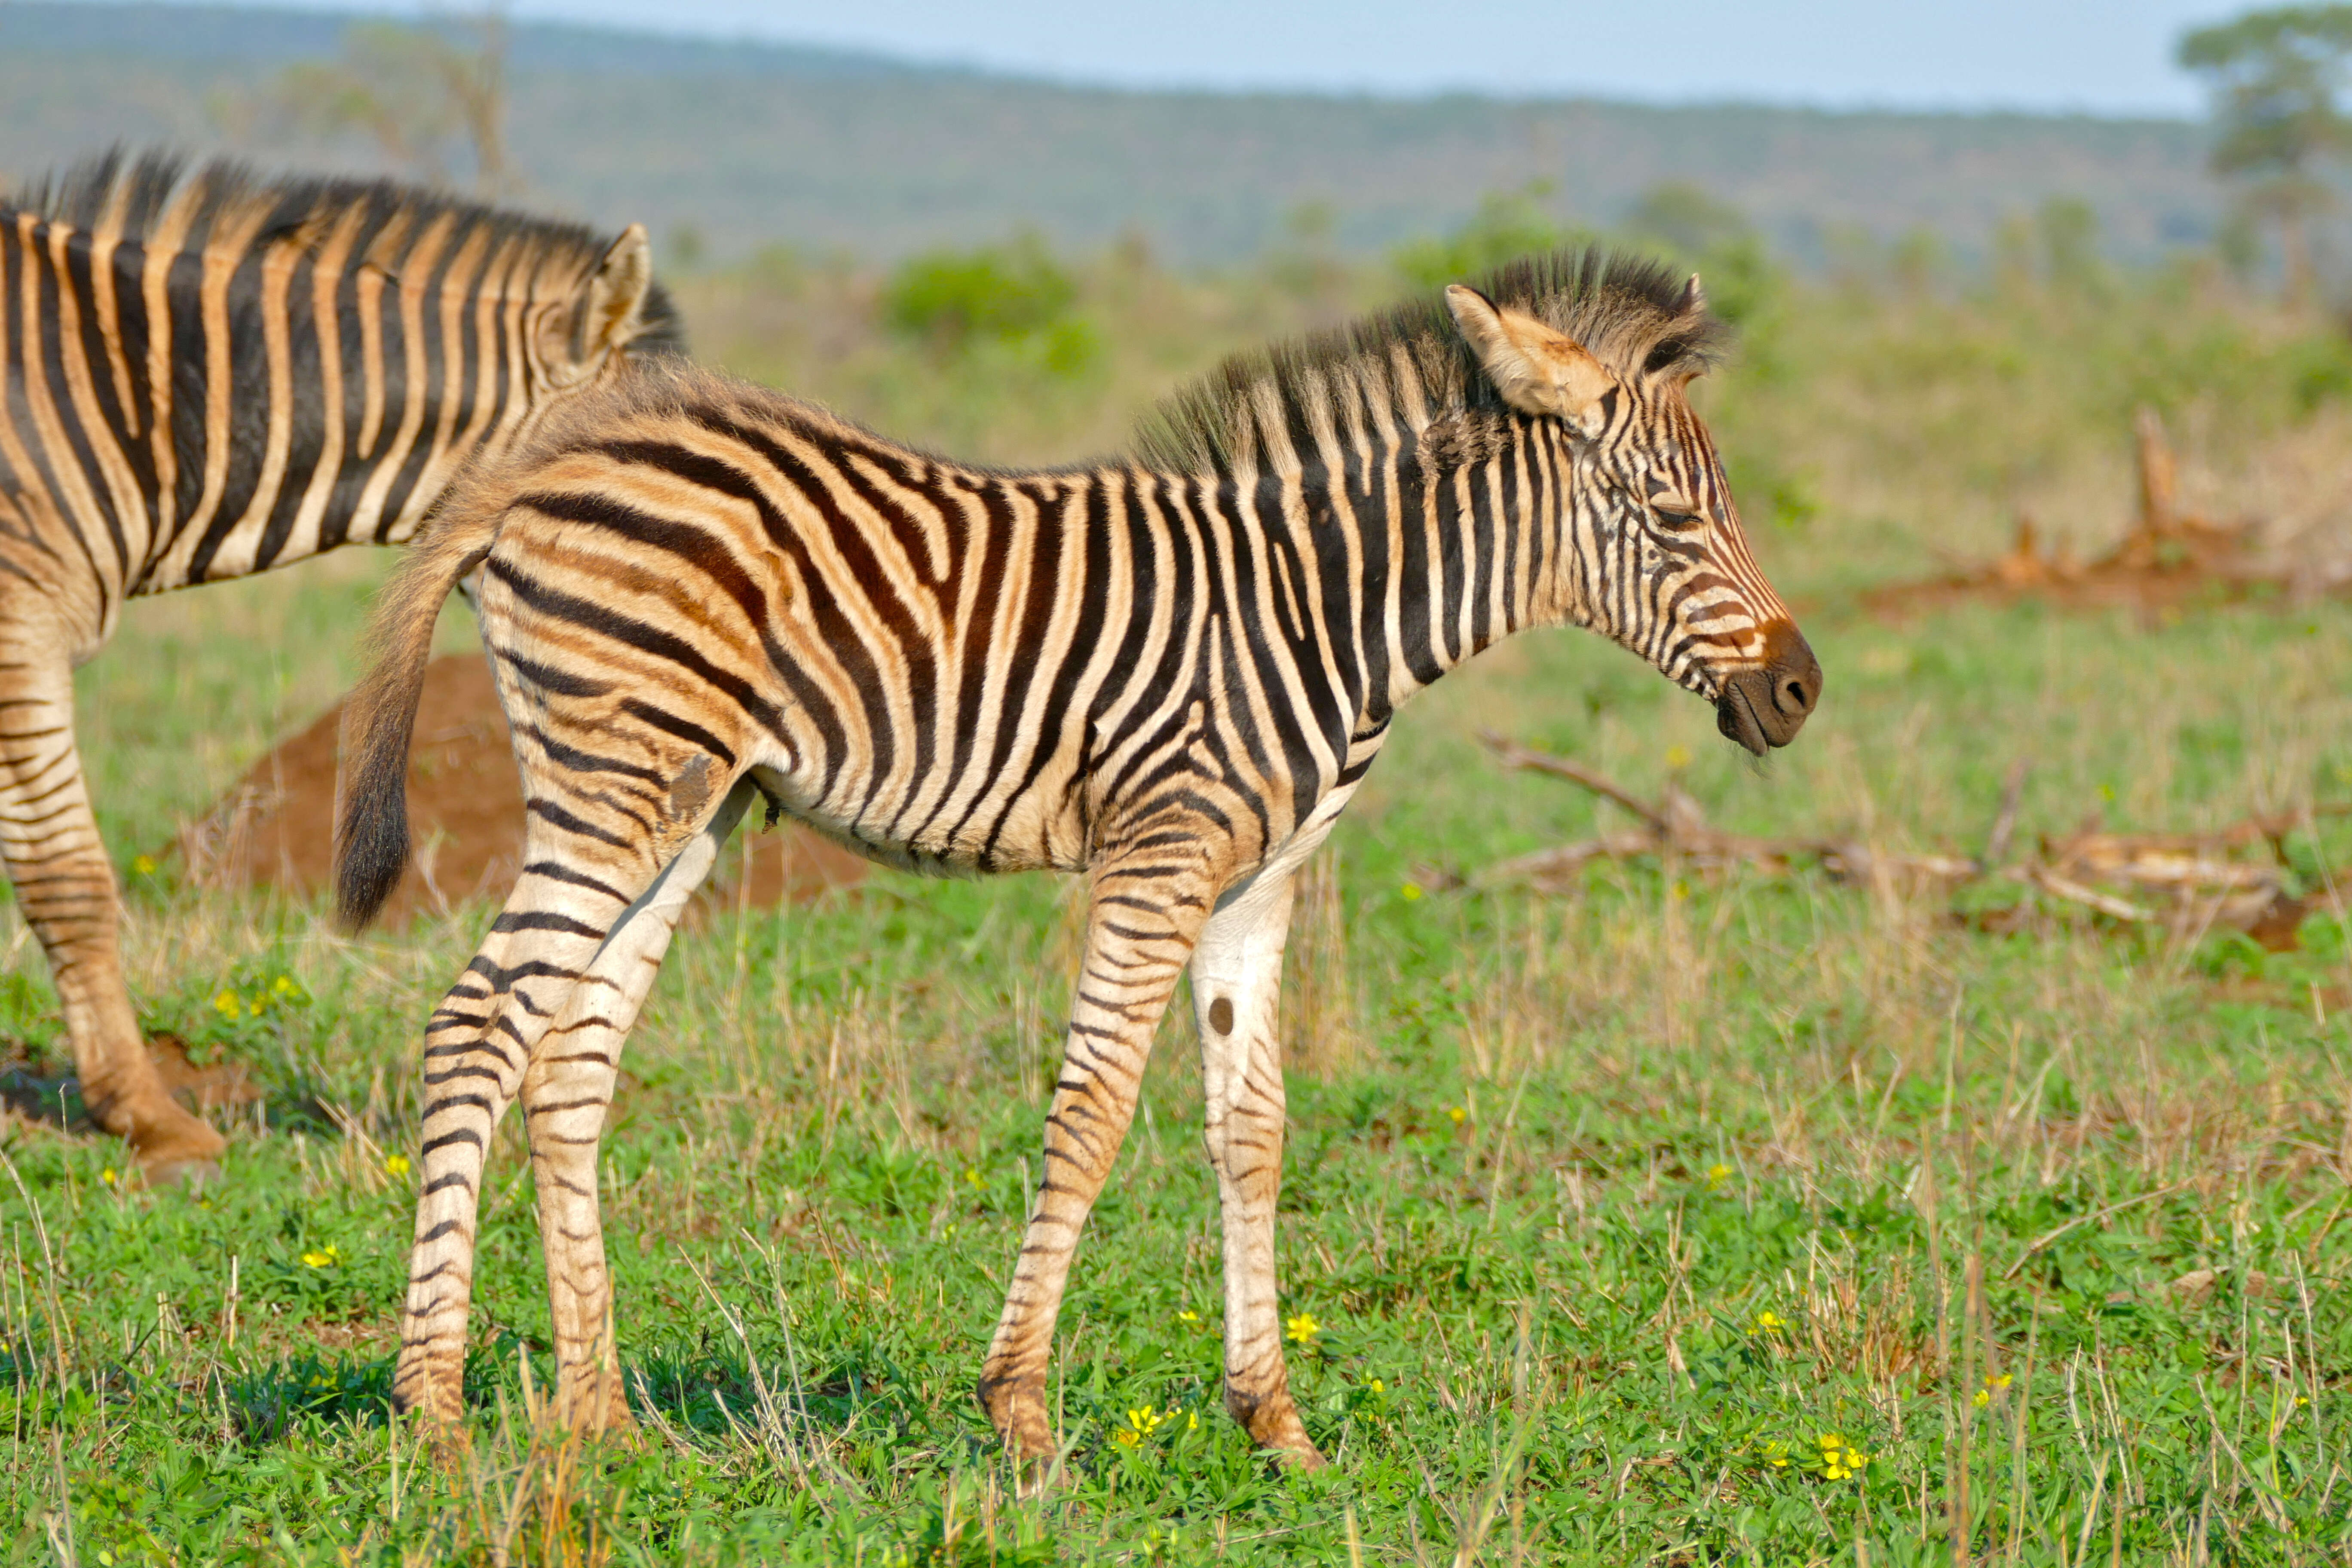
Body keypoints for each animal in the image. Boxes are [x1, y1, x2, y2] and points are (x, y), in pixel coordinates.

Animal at [331, 242, 1816, 1457]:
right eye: (1676, 519)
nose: (1800, 692)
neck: (1324, 610)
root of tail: (544, 460)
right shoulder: (1160, 854)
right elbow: (1093, 1110)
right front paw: (1023, 1414)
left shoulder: (1259, 882)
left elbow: (1253, 1128)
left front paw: (1273, 1422)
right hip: (616, 780)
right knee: (479, 1027)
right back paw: (435, 1415)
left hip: (689, 803)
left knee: (569, 1057)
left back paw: (597, 1417)